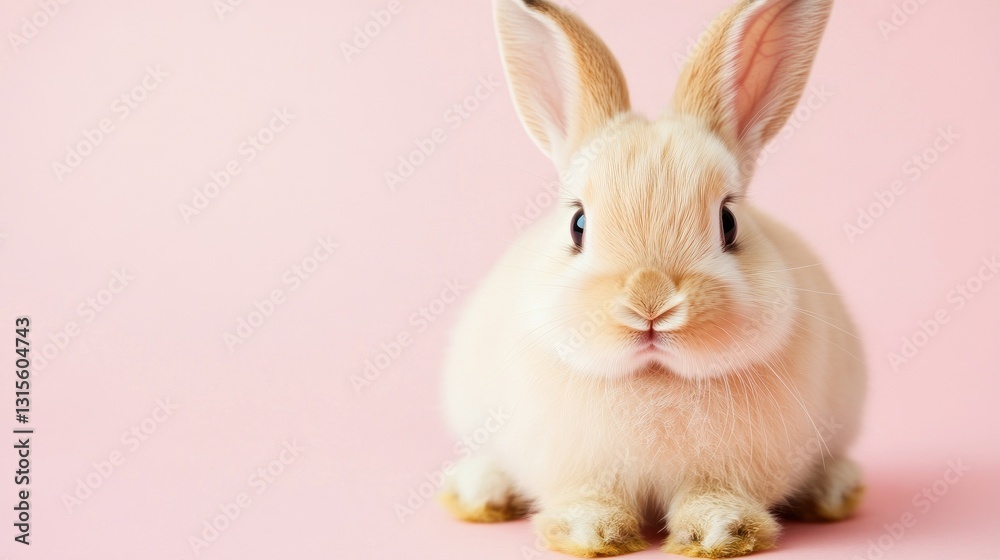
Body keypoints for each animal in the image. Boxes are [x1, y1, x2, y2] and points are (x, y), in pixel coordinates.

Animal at [439, 0, 866, 557]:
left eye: (728, 222)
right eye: (578, 224)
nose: (651, 300)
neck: (654, 378)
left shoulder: (727, 471)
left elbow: (715, 496)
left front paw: (720, 533)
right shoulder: (580, 470)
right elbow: (589, 498)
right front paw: (590, 533)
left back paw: (834, 491)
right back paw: (478, 493)